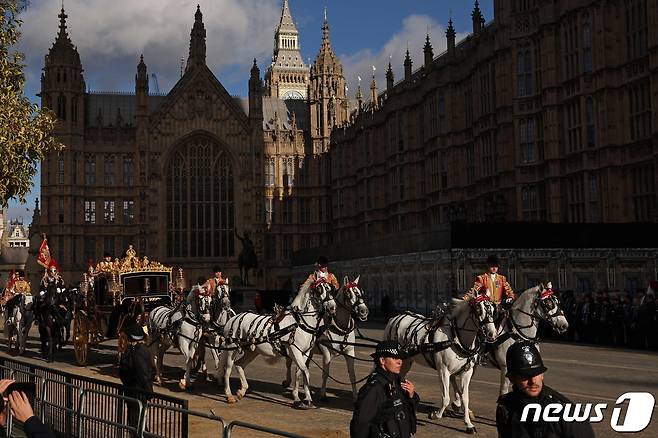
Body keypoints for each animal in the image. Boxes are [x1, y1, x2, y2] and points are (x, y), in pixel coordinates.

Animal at [222, 278, 336, 408]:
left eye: (330, 288)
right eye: (319, 289)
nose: (333, 307)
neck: (299, 322)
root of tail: (232, 318)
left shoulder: (305, 353)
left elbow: (299, 372)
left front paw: (304, 398)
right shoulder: (294, 351)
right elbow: (306, 372)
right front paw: (299, 399)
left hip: (251, 351)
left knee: (239, 364)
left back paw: (242, 390)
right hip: (232, 349)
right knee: (228, 369)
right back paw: (229, 395)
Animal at [382, 294, 494, 434]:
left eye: (494, 309)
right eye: (478, 309)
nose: (492, 333)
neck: (456, 337)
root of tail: (394, 319)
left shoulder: (466, 373)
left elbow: (465, 398)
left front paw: (468, 424)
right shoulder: (443, 371)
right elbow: (445, 398)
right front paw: (435, 415)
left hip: (406, 362)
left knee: (400, 379)